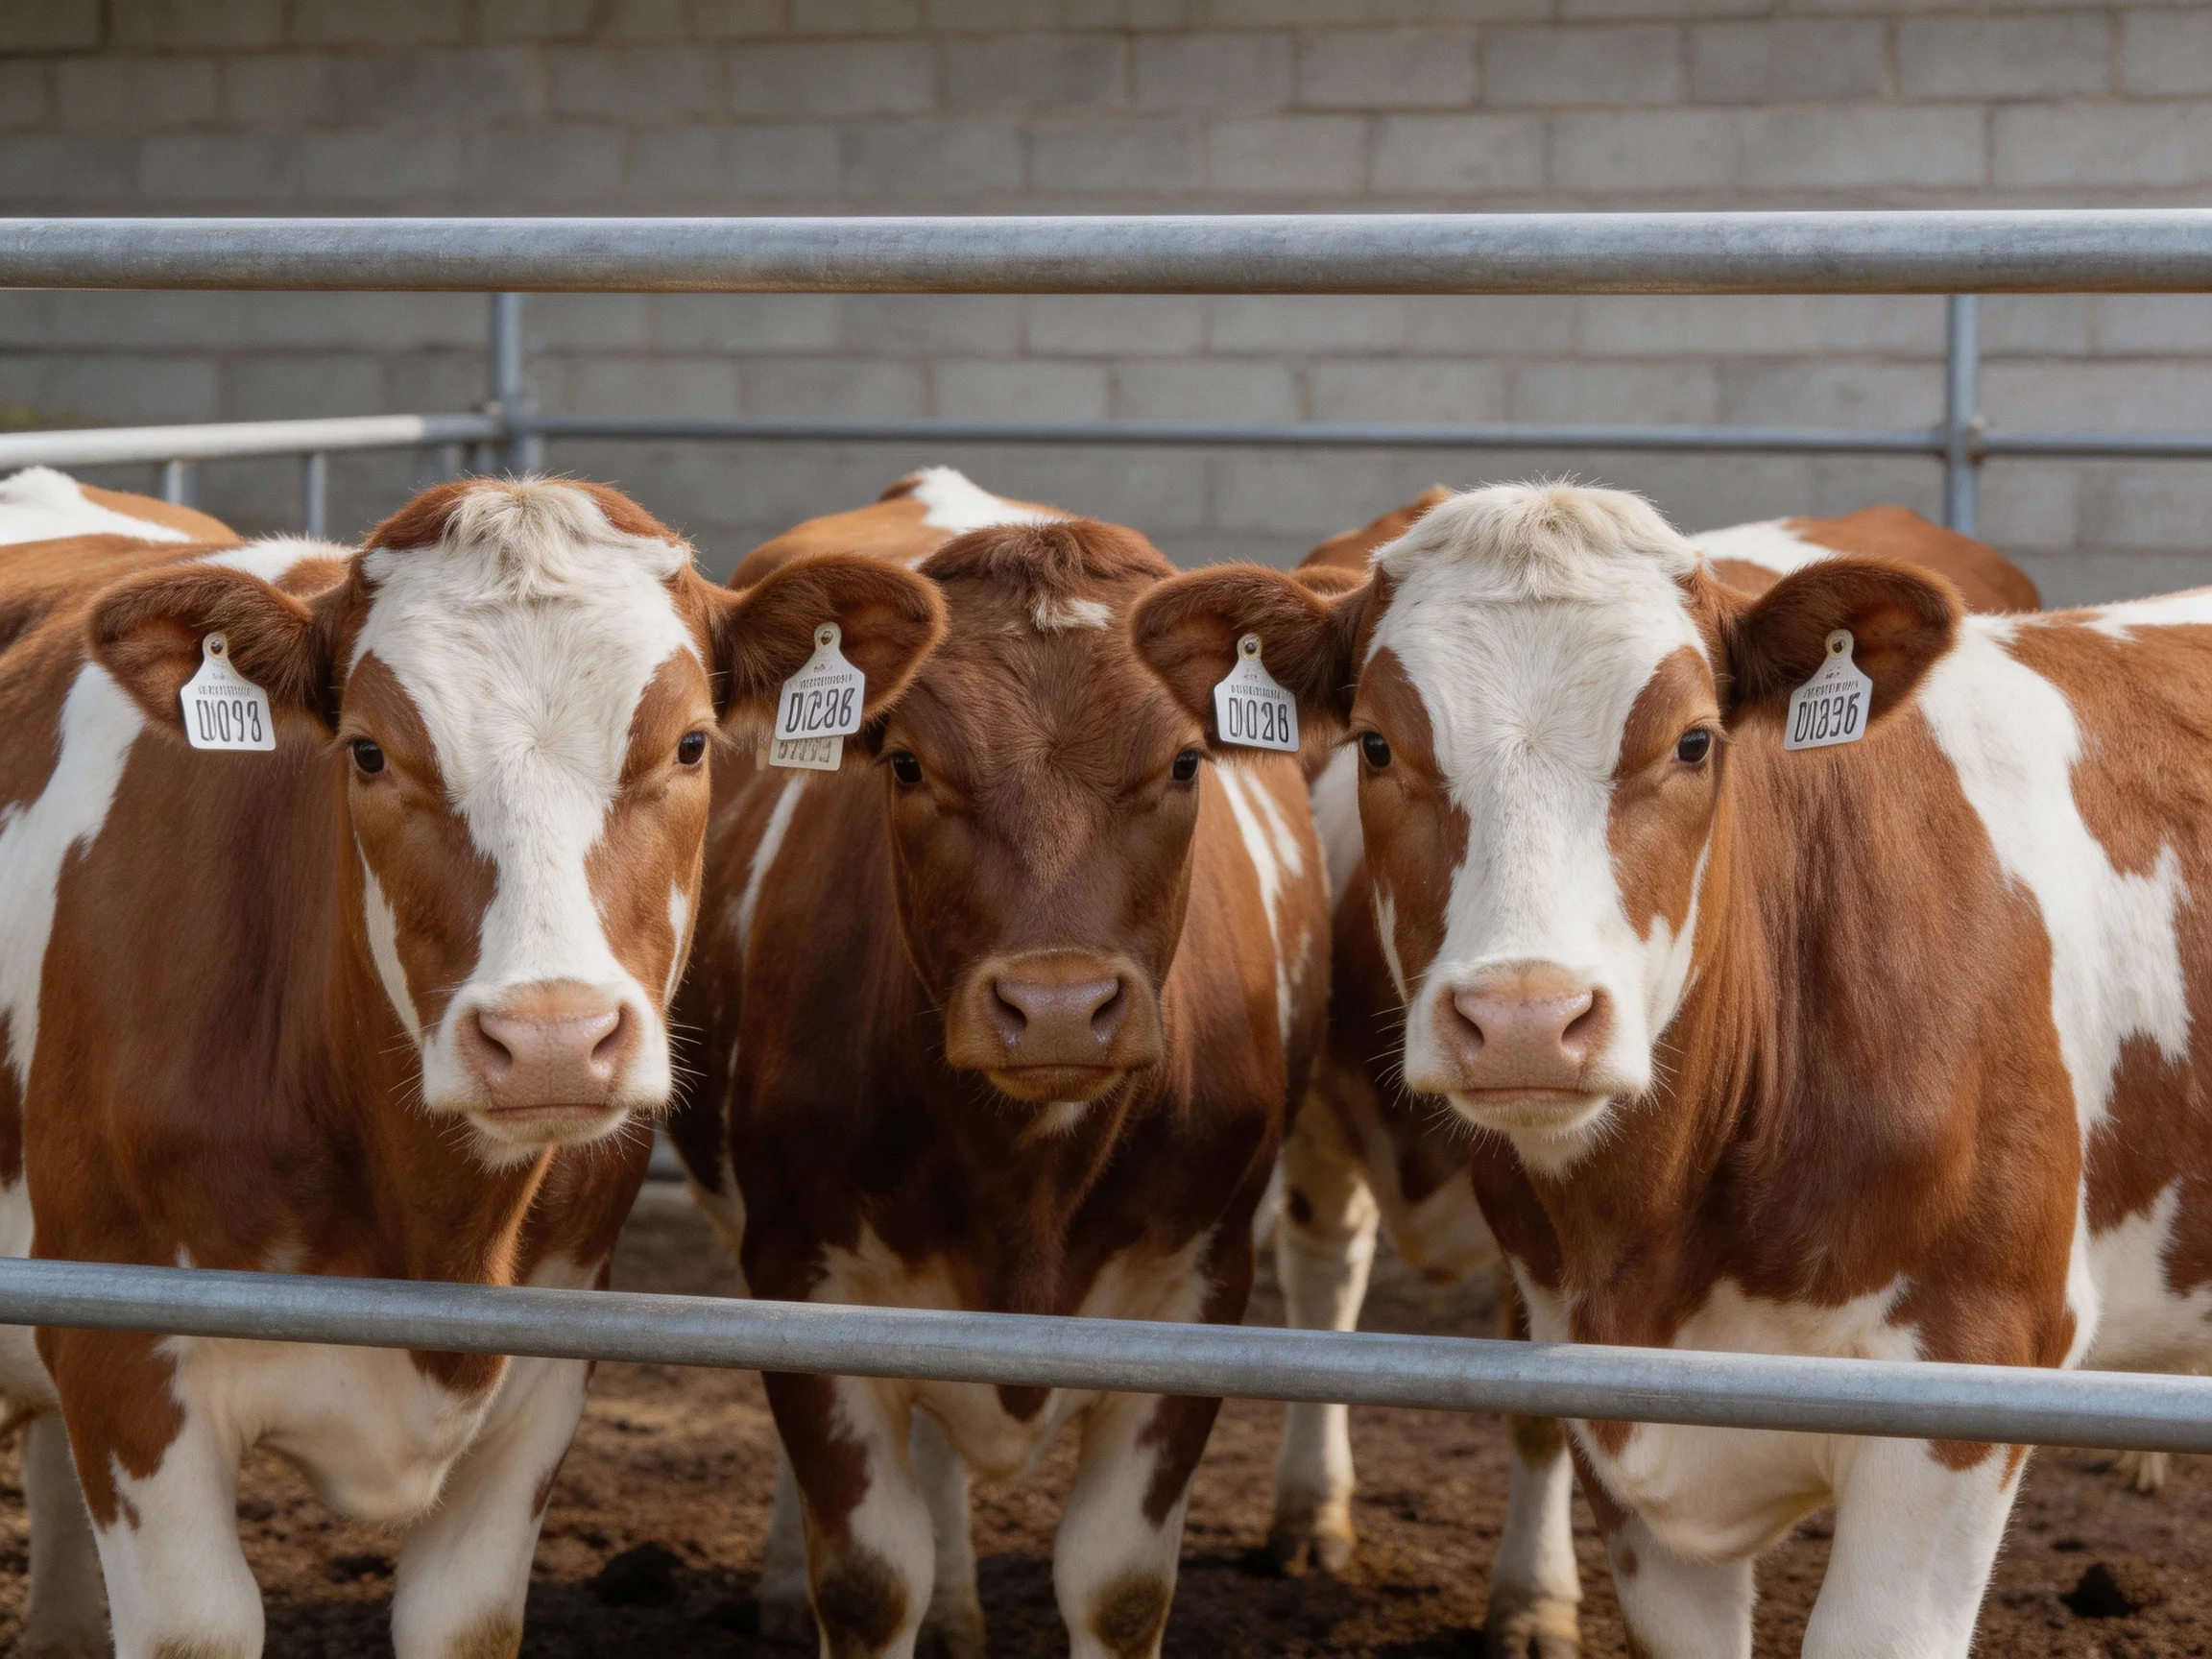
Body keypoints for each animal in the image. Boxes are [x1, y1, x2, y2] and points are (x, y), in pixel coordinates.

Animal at [0, 474, 943, 1659]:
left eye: (690, 745)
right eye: (367, 751)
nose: (550, 1037)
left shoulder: (541, 1365)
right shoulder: (123, 1358)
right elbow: (197, 1622)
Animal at [668, 470, 1330, 1659]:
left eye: (1183, 762)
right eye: (907, 763)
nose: (1058, 1009)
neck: (1028, 1179)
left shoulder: (1201, 1291)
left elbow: (1118, 1586)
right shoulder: (799, 1272)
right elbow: (868, 1576)